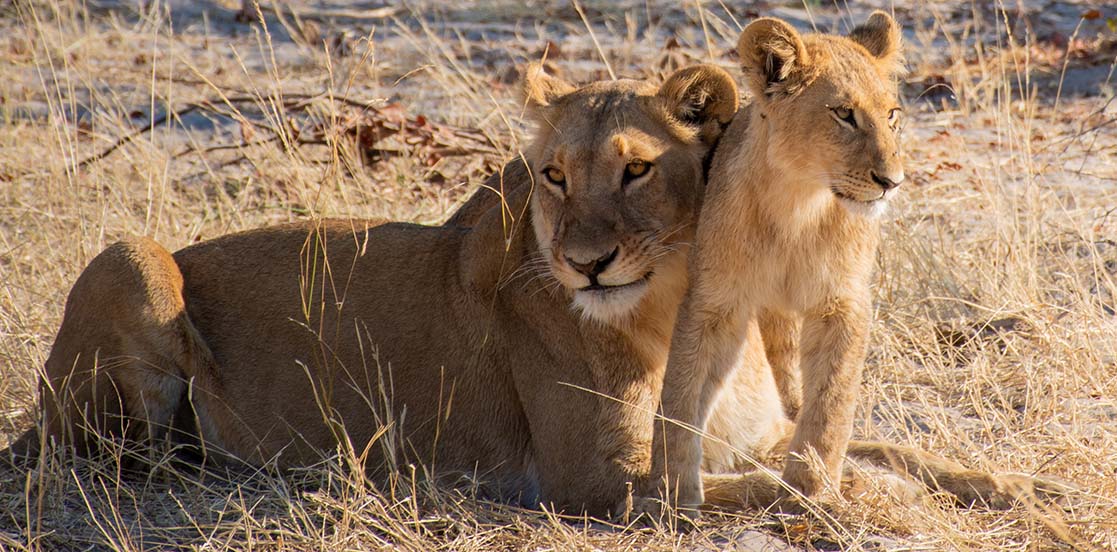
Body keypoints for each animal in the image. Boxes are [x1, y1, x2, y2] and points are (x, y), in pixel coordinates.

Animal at [643, 12, 1070, 515]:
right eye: (844, 114)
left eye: (892, 115)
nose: (893, 181)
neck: (796, 205)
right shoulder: (714, 302)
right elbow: (680, 394)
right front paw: (671, 489)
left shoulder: (842, 302)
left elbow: (832, 401)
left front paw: (810, 486)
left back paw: (1029, 488)